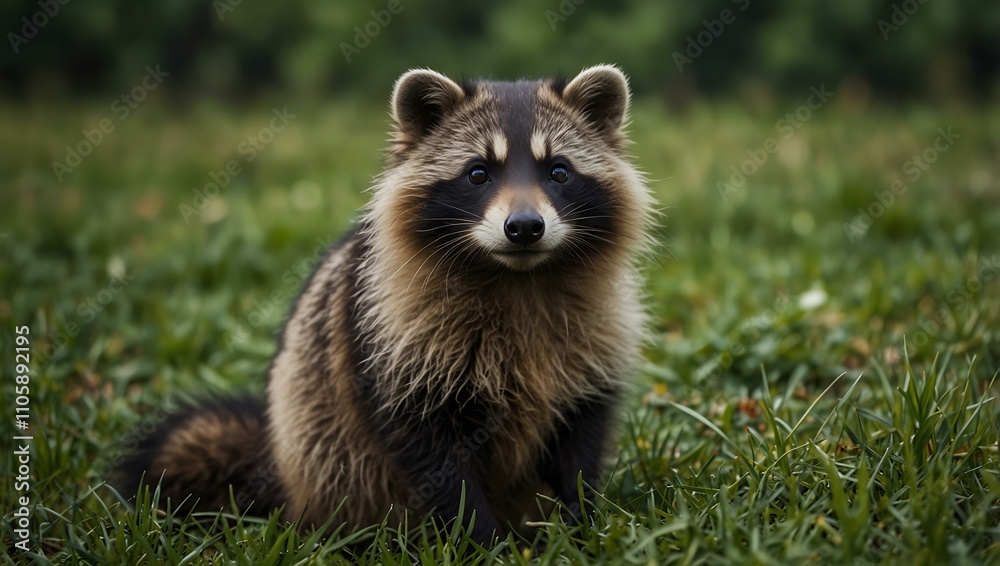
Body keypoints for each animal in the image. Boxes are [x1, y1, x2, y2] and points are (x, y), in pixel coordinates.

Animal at [119, 65, 653, 543]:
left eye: (559, 171)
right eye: (478, 173)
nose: (524, 227)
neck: (518, 277)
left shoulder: (594, 345)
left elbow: (580, 443)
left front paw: (579, 527)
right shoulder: (394, 345)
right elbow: (436, 460)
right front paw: (485, 542)